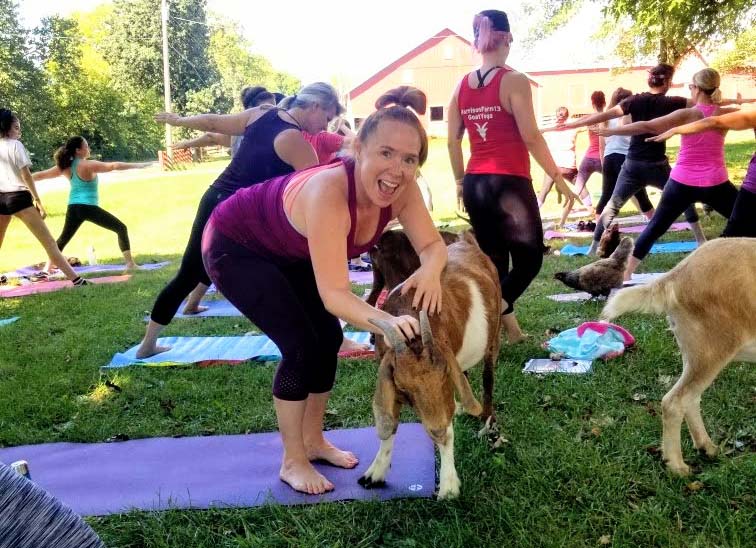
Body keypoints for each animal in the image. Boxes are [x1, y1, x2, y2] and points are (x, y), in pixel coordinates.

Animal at [356, 233, 500, 498]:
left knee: (488, 376)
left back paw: (487, 418)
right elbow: (390, 423)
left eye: (444, 374)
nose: (438, 430)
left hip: (493, 337)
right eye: (404, 388)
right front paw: (374, 473)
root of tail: (466, 240)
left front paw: (449, 486)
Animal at [604, 239, 756, 476]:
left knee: (690, 399)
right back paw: (676, 465)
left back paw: (706, 448)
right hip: (713, 351)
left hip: (694, 352)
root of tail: (673, 277)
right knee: (674, 401)